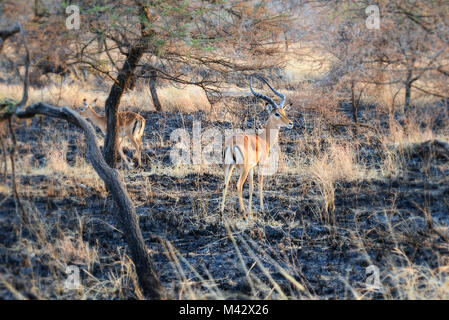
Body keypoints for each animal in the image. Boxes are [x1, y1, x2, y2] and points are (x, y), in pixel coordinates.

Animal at [221, 75, 294, 218]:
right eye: (276, 113)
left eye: (283, 111)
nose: (290, 123)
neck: (262, 139)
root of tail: (232, 143)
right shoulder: (261, 164)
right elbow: (259, 185)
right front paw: (261, 209)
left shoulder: (251, 168)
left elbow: (251, 188)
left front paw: (251, 210)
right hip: (242, 169)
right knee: (238, 185)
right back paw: (243, 212)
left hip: (229, 166)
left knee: (225, 184)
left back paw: (221, 212)